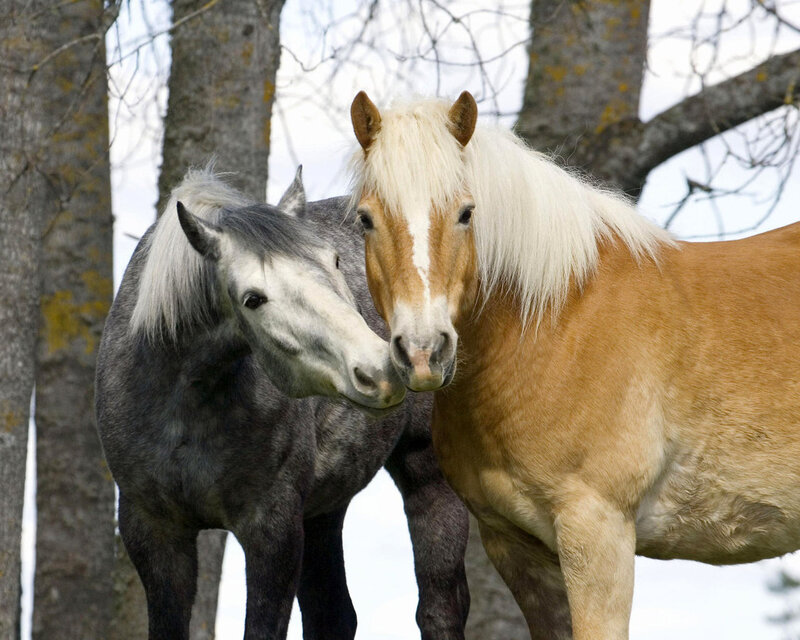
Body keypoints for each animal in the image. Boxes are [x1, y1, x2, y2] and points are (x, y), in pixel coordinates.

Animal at [95, 167, 470, 640]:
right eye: (253, 299)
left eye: (335, 262)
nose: (381, 370)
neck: (185, 404)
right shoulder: (154, 532)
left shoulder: (272, 531)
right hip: (324, 507)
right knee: (334, 614)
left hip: (428, 478)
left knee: (439, 609)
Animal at [348, 90, 800, 640]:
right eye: (367, 219)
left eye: (466, 213)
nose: (423, 351)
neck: (555, 322)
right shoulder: (516, 547)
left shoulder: (598, 530)